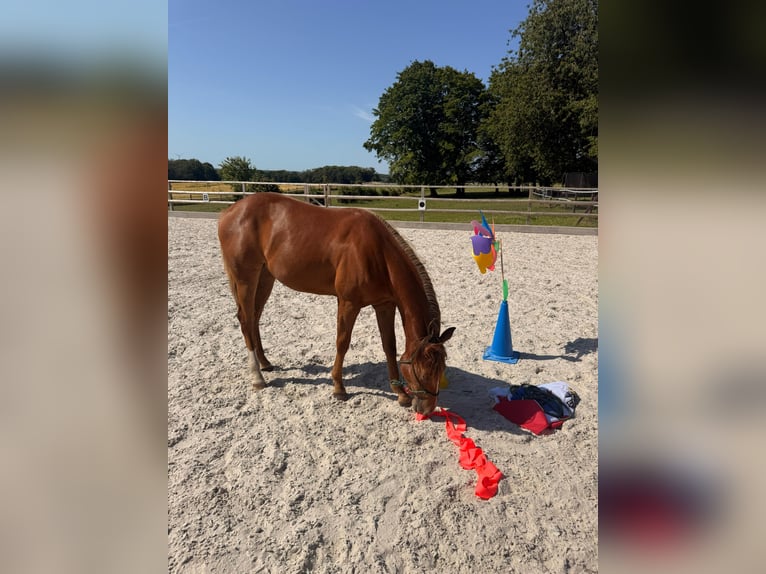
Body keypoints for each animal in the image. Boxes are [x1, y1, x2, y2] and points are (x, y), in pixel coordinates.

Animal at [217, 192, 455, 415]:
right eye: (424, 370)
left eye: (441, 368)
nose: (427, 408)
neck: (377, 252)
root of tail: (229, 212)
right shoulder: (348, 303)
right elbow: (343, 342)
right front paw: (339, 388)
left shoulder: (385, 305)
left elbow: (389, 346)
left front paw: (400, 393)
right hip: (245, 278)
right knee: (245, 319)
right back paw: (257, 377)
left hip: (265, 276)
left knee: (255, 318)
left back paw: (265, 363)